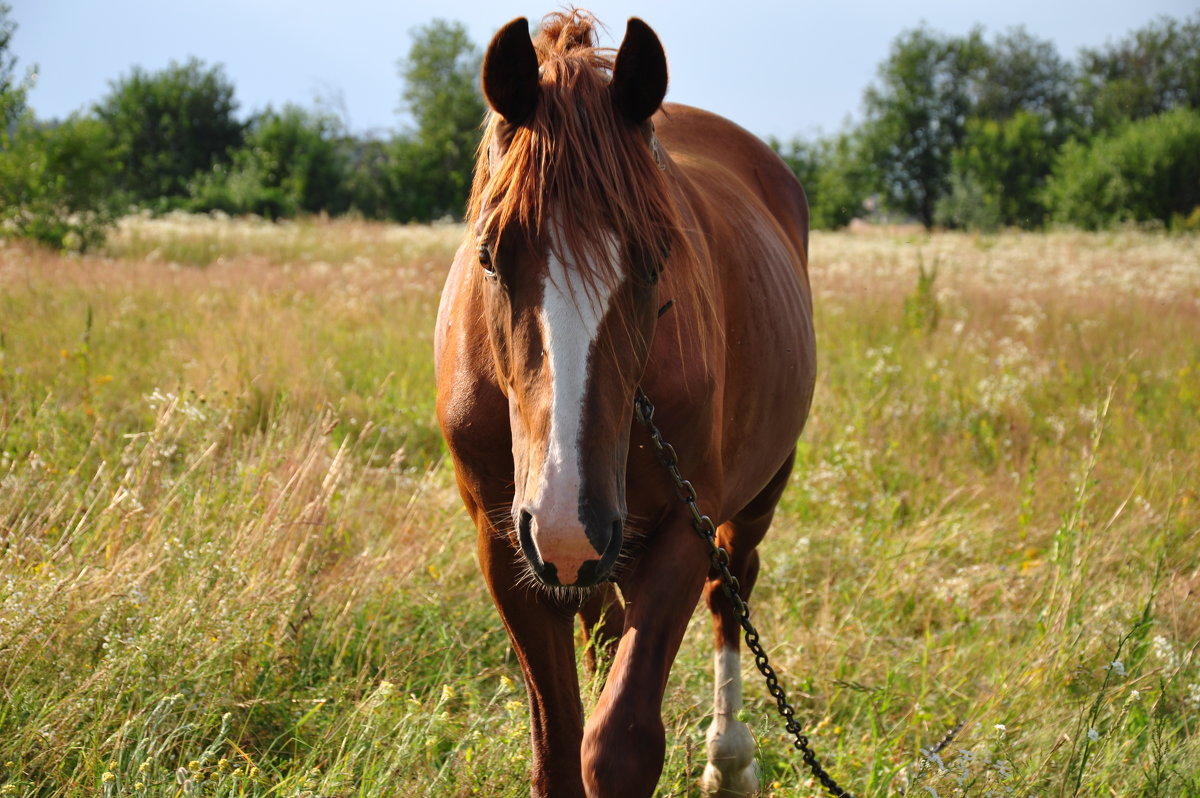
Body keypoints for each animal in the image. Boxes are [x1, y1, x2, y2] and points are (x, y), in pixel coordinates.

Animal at [434, 12, 816, 796]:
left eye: (654, 258)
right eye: (489, 255)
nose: (565, 522)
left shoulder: (681, 529)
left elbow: (620, 743)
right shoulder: (506, 547)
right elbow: (558, 748)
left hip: (755, 493)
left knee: (731, 591)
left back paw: (730, 760)